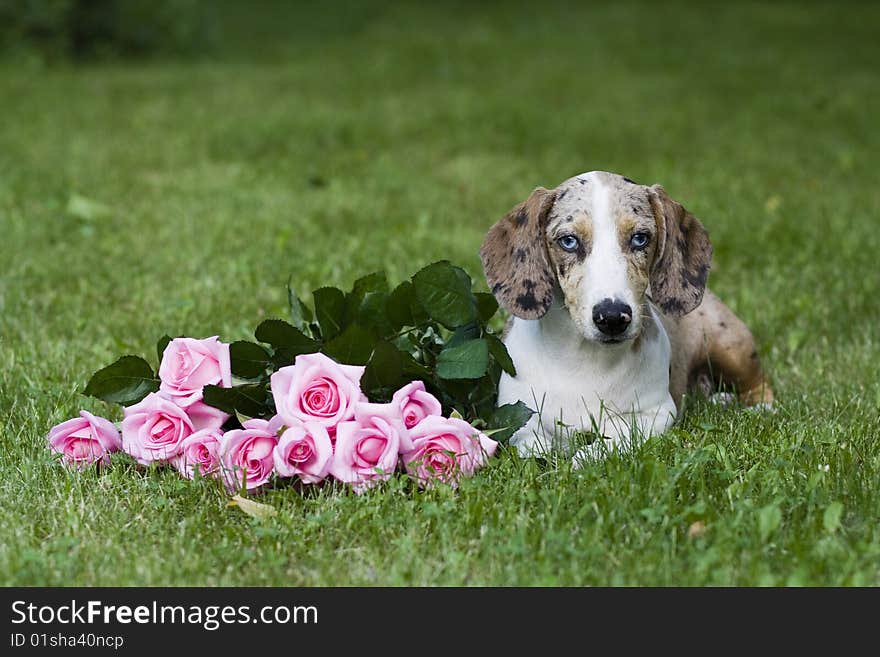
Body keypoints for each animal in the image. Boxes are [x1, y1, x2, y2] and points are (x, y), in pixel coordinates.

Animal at [478, 170, 772, 456]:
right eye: (569, 241)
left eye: (640, 238)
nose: (612, 317)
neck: (583, 360)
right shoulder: (516, 414)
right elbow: (531, 441)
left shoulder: (656, 413)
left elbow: (611, 439)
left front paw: (583, 457)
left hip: (731, 347)